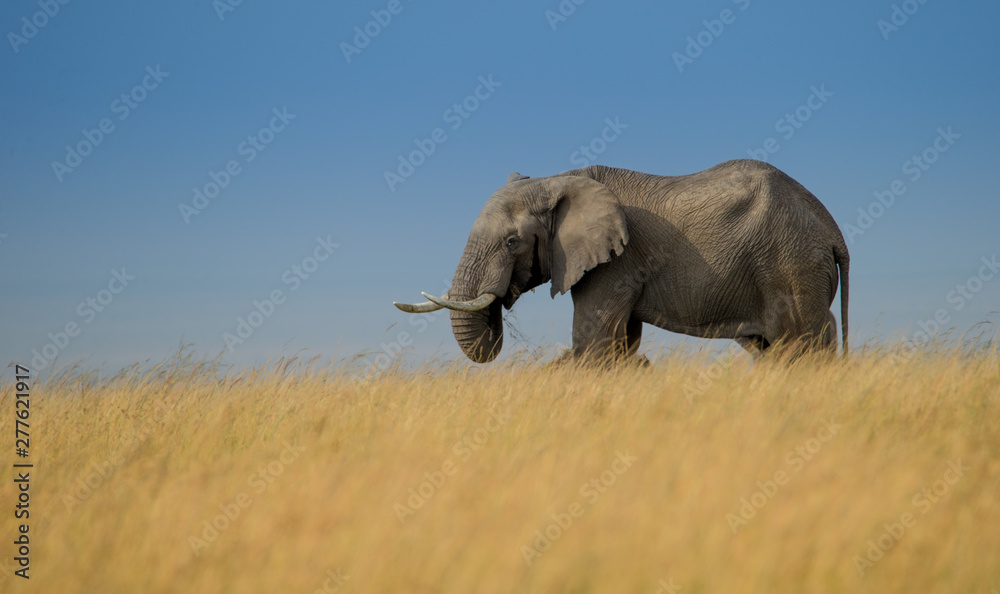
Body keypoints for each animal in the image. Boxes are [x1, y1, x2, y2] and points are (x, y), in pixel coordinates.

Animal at [394, 159, 849, 364]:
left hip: (791, 264)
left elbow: (594, 344)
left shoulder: (616, 263)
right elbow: (620, 343)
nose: (500, 301)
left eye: (511, 242)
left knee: (801, 341)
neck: (560, 177)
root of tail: (834, 233)